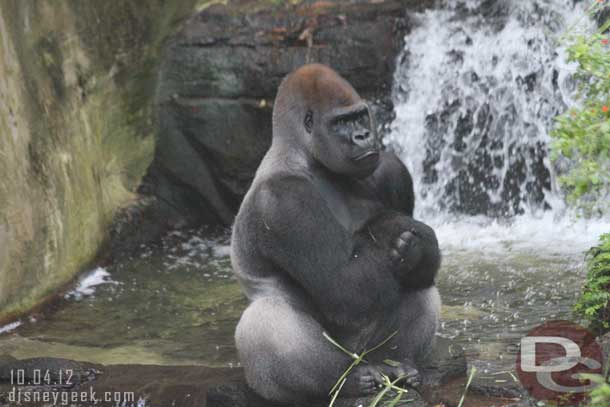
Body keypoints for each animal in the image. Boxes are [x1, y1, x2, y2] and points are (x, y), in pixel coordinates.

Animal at [230, 64, 440, 404]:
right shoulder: (284, 200)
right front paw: (392, 230)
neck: (306, 158)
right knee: (265, 321)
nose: (363, 136)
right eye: (340, 123)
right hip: (333, 362)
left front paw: (415, 247)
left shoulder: (389, 169)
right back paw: (348, 380)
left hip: (369, 351)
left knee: (419, 283)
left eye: (360, 116)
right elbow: (345, 287)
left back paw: (398, 365)